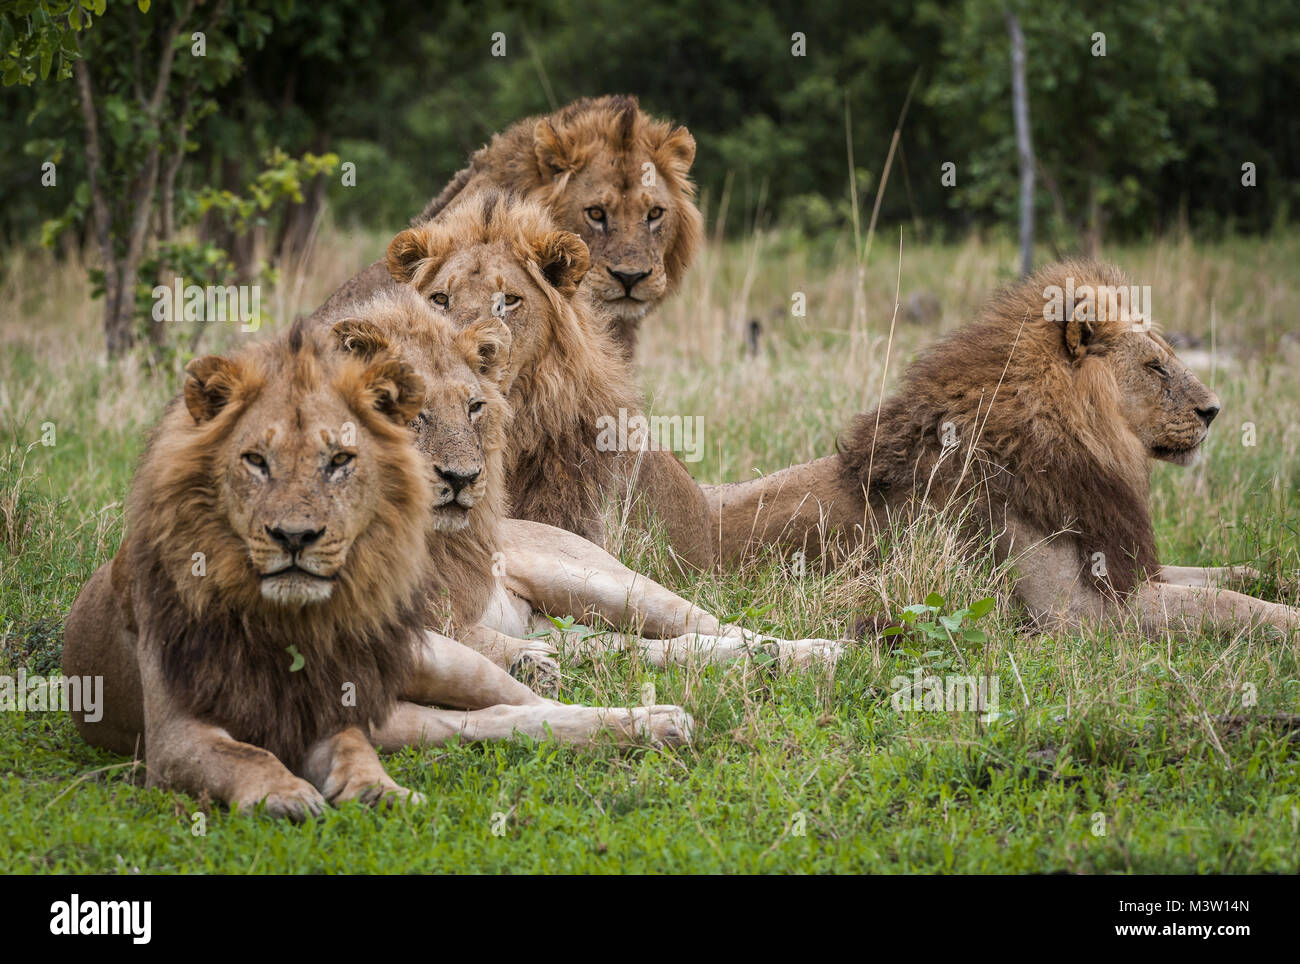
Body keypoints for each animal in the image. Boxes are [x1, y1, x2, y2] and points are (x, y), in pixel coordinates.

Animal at [707, 262, 1300, 641]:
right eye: (1155, 367)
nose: (1214, 410)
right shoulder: (1076, 612)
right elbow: (1223, 603)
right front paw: (1288, 622)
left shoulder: (1120, 565)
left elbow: (1221, 576)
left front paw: (1279, 580)